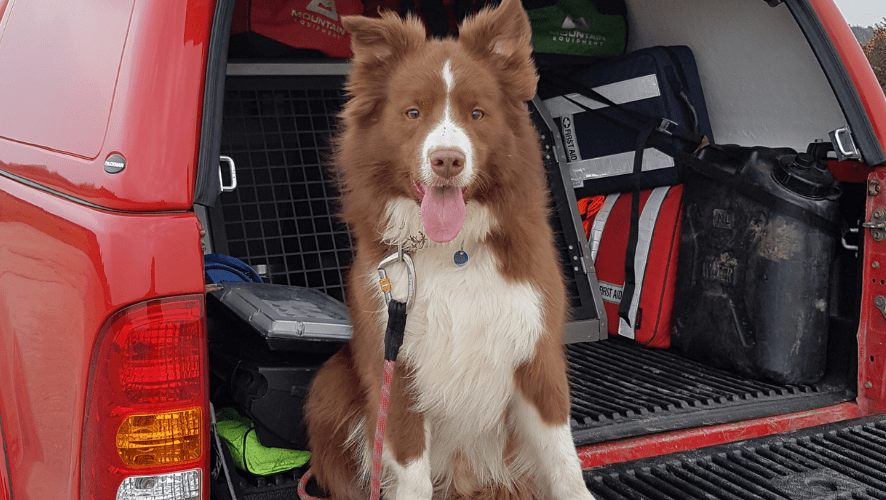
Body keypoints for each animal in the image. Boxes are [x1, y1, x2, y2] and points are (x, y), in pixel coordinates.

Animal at [306, 0, 596, 498]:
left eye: (476, 113)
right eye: (413, 112)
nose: (447, 160)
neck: (453, 249)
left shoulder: (536, 351)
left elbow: (563, 460)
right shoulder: (397, 363)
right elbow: (411, 471)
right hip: (330, 386)